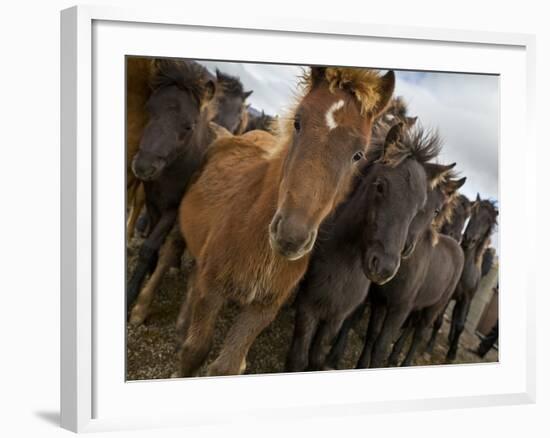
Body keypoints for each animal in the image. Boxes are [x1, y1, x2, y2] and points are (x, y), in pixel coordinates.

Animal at [177, 66, 396, 378]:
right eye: (297, 123)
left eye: (358, 154)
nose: (291, 236)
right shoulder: (213, 288)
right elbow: (195, 351)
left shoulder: (264, 307)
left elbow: (227, 366)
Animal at [358, 159, 466, 368]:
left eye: (436, 210)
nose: (405, 245)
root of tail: (458, 248)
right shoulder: (379, 301)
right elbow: (372, 335)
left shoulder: (401, 309)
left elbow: (381, 345)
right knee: (412, 328)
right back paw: (394, 357)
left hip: (435, 307)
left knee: (419, 334)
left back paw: (406, 362)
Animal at [448, 195, 500, 360]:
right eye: (473, 214)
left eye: (488, 221)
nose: (468, 238)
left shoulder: (466, 299)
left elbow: (460, 324)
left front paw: (452, 352)